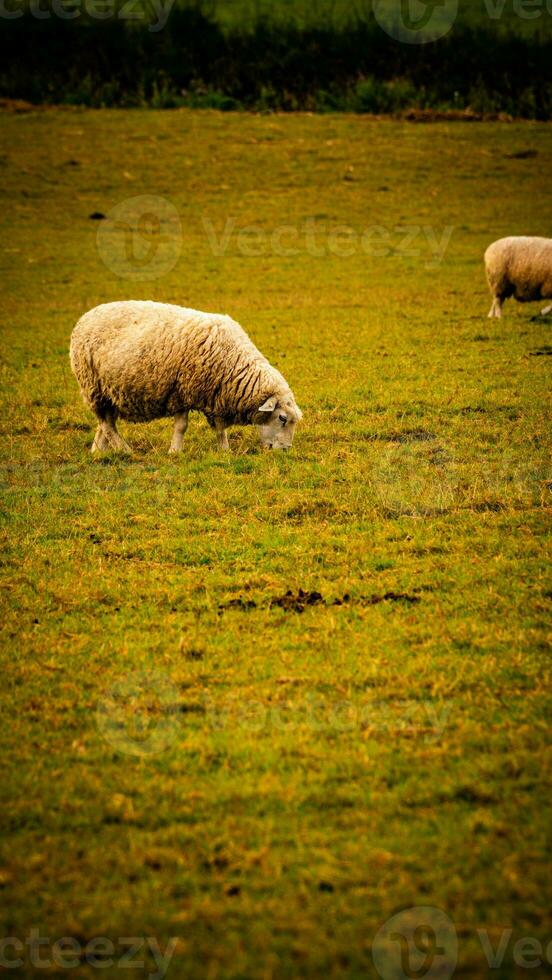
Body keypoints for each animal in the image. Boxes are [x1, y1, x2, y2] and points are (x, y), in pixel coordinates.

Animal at [69, 300, 304, 454]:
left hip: (109, 391)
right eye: (282, 418)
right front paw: (175, 451)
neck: (234, 362)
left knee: (105, 423)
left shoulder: (214, 395)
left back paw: (98, 451)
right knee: (107, 425)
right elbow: (182, 426)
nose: (285, 450)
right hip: (92, 385)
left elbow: (220, 429)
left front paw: (224, 450)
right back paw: (125, 450)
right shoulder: (181, 391)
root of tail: (85, 317)